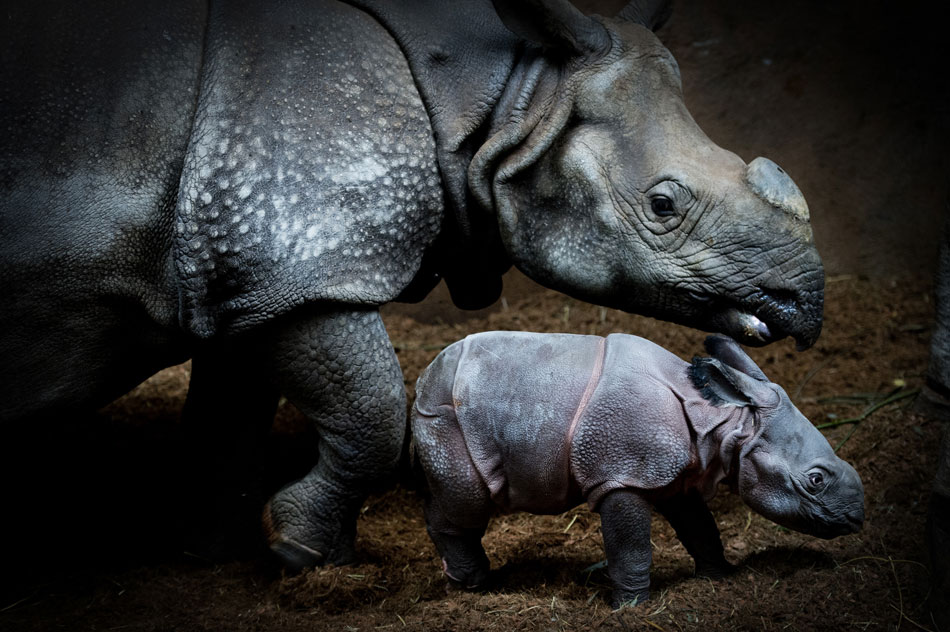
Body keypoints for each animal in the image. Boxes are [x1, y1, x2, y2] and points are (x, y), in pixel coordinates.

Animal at [412, 334, 868, 604]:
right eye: (815, 480)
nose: (856, 519)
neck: (729, 420)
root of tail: (423, 376)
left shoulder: (679, 475)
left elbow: (701, 529)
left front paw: (720, 578)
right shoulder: (622, 475)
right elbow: (630, 546)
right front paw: (631, 606)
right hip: (444, 413)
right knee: (467, 502)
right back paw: (474, 587)